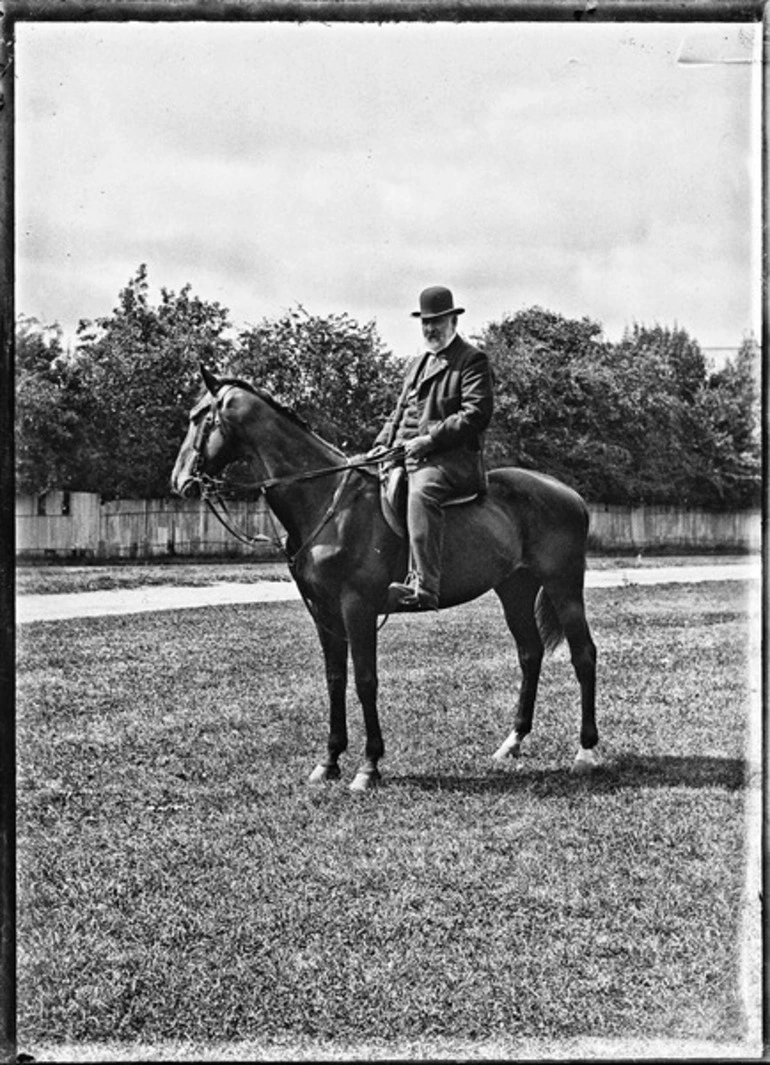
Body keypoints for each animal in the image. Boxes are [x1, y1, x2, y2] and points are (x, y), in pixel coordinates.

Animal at [171, 368, 600, 792]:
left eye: (198, 417)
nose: (178, 481)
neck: (327, 500)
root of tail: (570, 495)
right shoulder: (323, 612)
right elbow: (335, 679)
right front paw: (329, 761)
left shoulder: (357, 607)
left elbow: (365, 680)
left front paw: (369, 766)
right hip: (515, 588)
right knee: (530, 653)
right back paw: (512, 741)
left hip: (563, 586)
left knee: (583, 654)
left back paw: (585, 751)